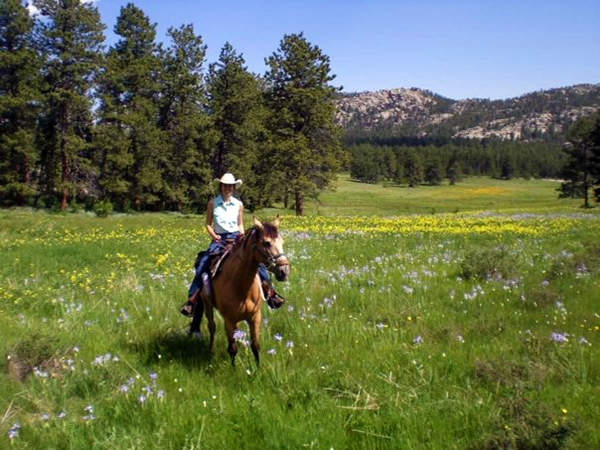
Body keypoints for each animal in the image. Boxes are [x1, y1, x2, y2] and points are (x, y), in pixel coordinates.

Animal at [190, 217, 288, 366]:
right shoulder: (229, 320)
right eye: (267, 243)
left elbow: (255, 346)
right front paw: (233, 368)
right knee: (212, 327)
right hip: (207, 305)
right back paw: (210, 351)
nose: (284, 271)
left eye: (282, 241)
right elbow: (232, 348)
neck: (241, 286)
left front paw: (258, 368)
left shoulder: (255, 317)